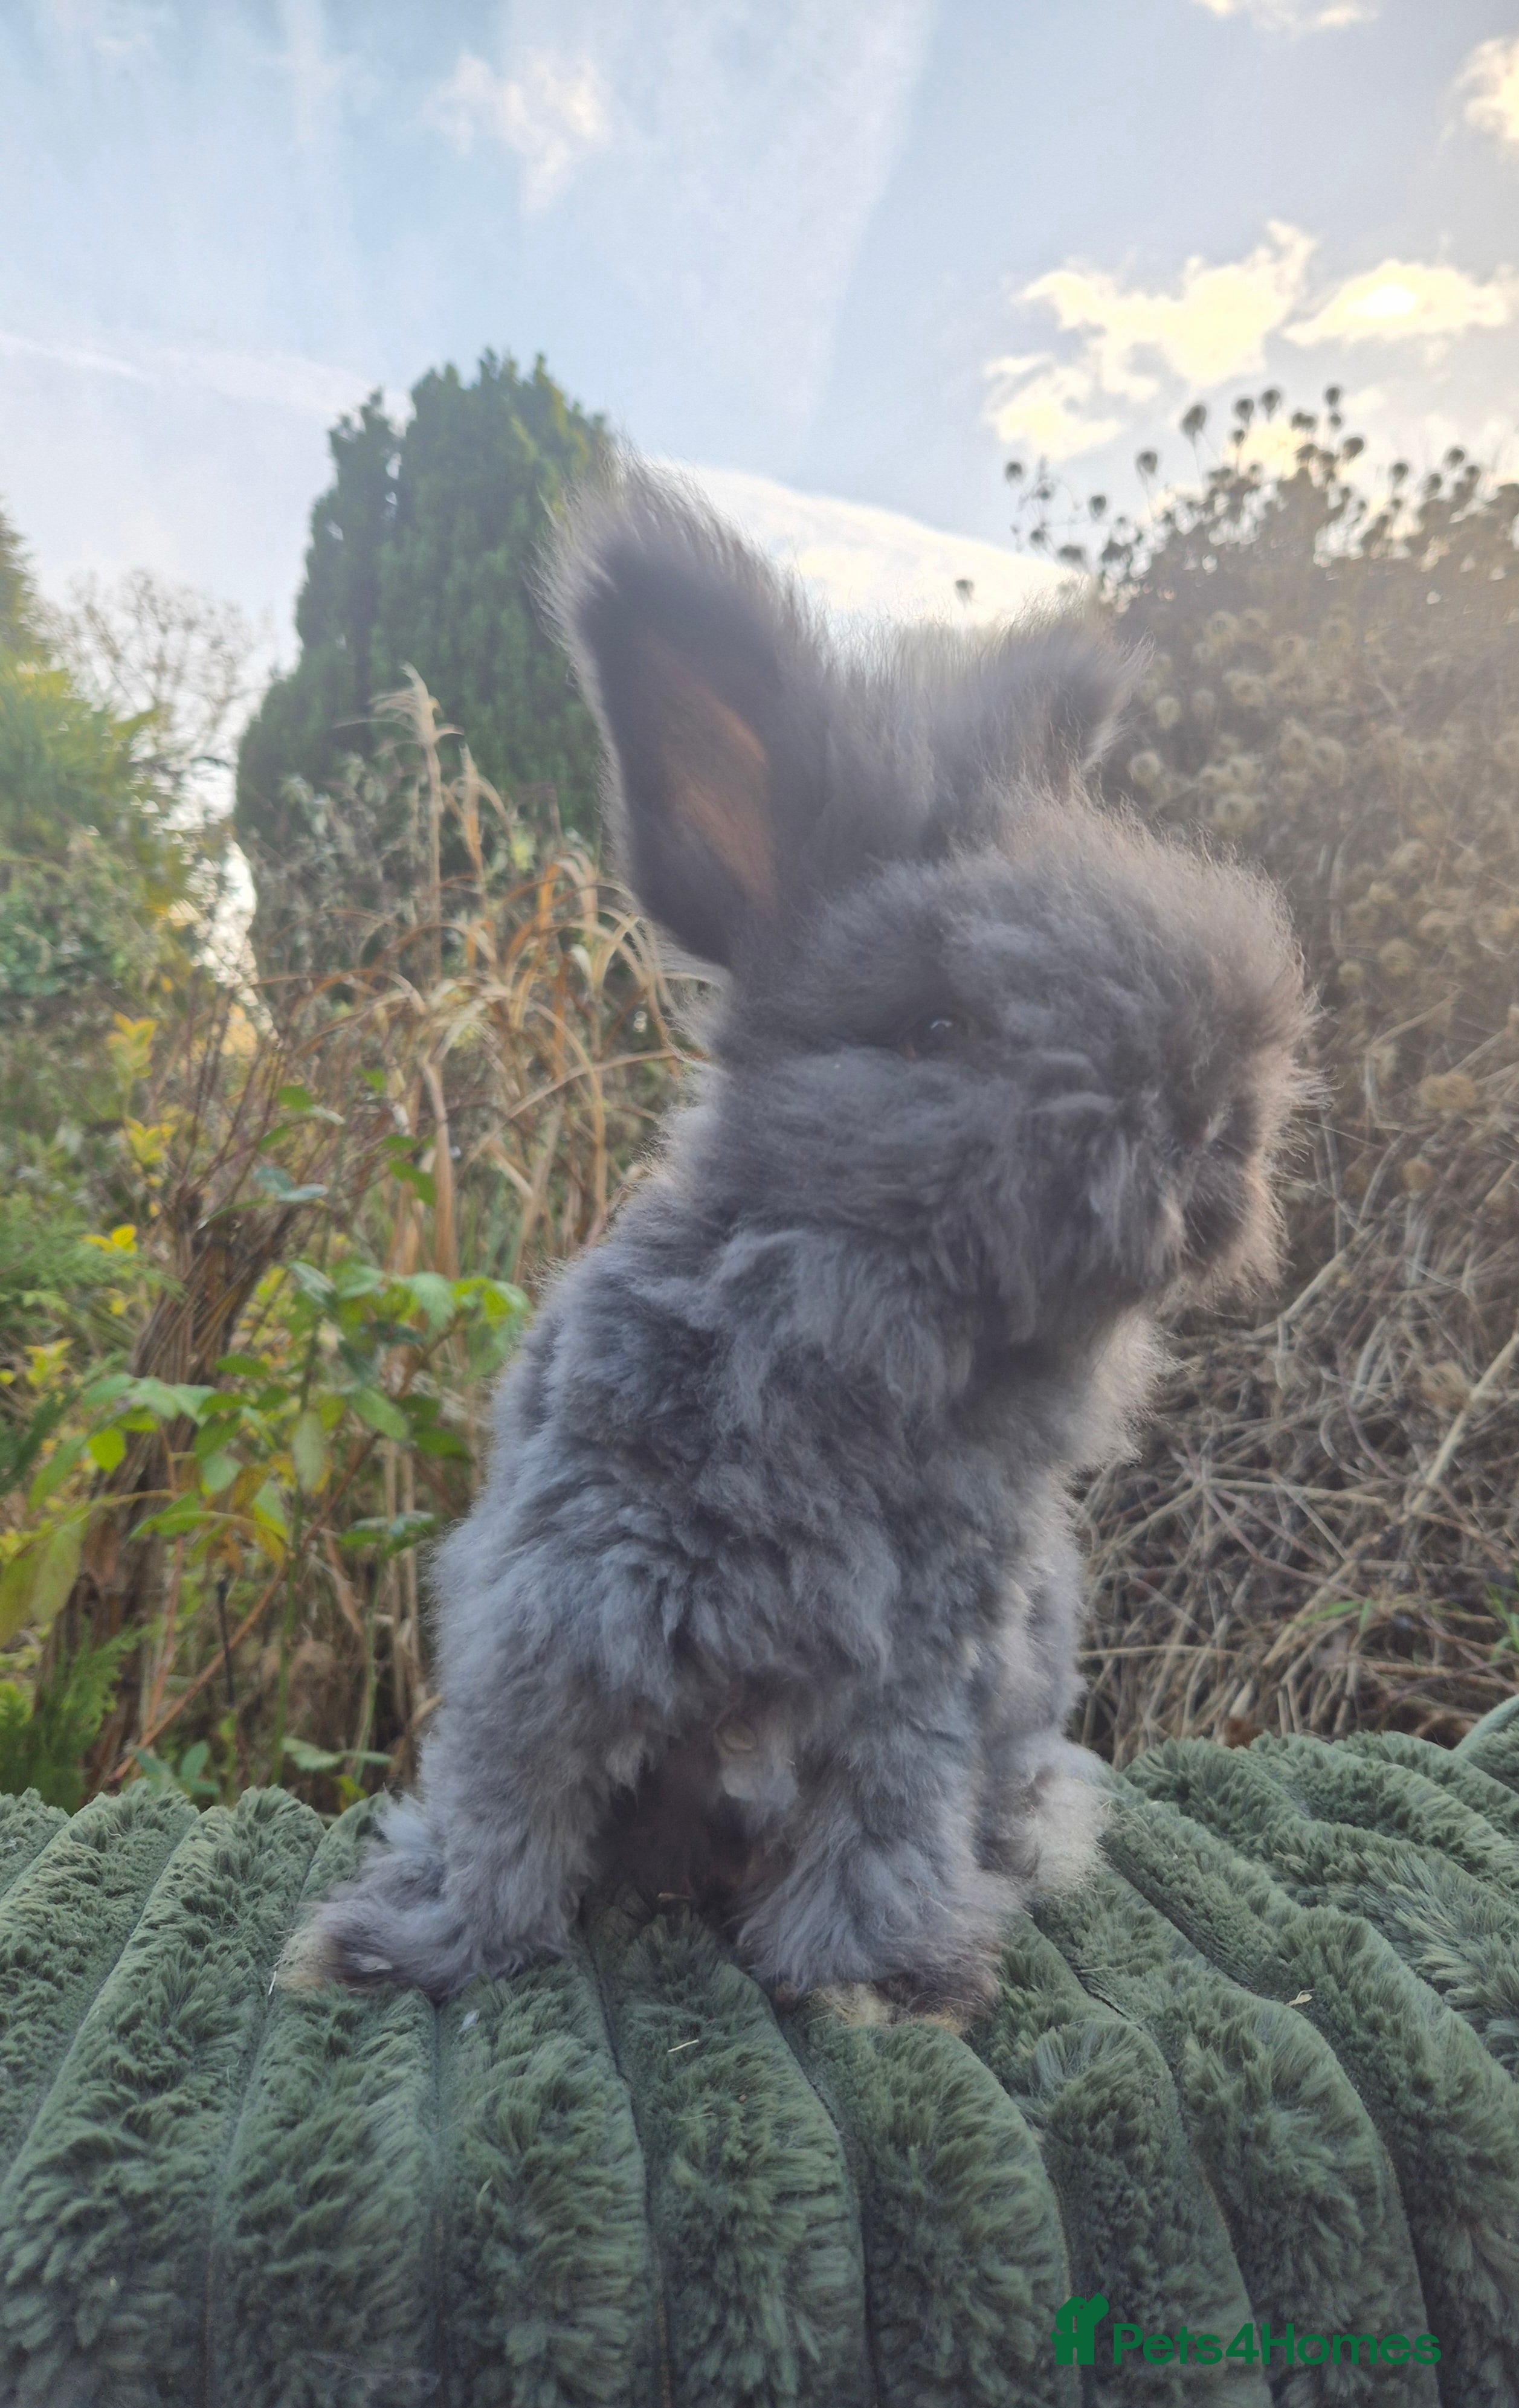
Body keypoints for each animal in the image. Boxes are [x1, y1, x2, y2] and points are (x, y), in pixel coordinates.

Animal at [293, 463, 1308, 2017]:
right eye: (933, 1029)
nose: (1216, 1127)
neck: (857, 1330)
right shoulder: (556, 1612)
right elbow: (502, 1804)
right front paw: (406, 1951)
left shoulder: (916, 1682)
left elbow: (880, 1828)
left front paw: (872, 1985)